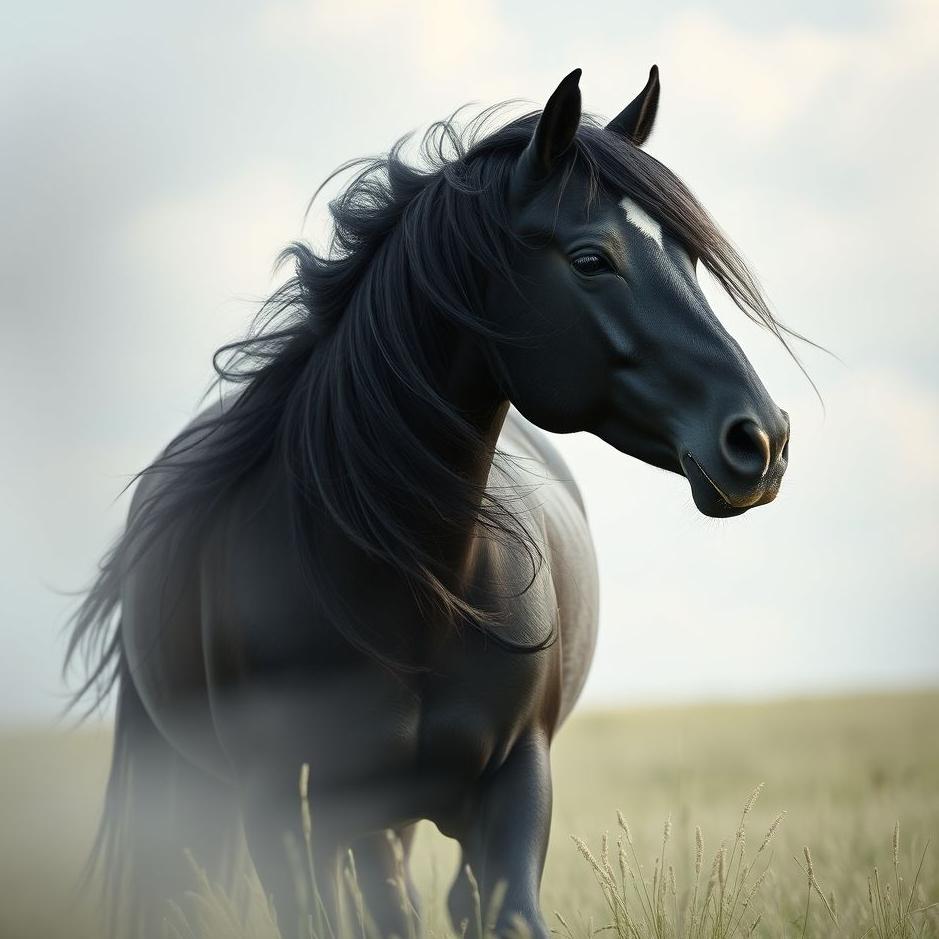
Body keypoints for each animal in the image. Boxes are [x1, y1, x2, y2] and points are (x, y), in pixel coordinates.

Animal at [66, 66, 792, 939]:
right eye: (591, 259)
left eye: (688, 257)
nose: (759, 438)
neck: (400, 584)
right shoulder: (283, 812)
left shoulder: (515, 782)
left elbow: (505, 914)